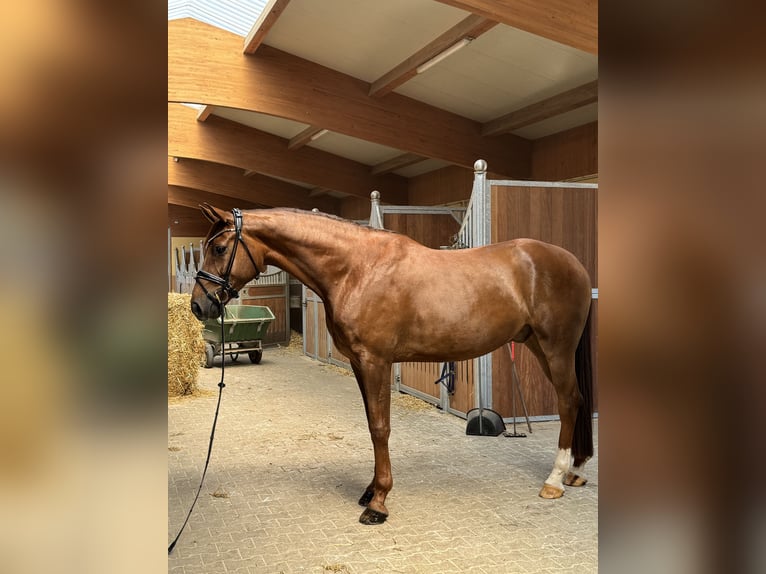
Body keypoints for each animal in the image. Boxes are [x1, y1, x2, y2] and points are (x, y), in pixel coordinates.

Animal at [190, 204, 594, 525]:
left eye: (219, 248)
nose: (198, 305)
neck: (356, 269)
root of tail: (574, 263)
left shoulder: (376, 361)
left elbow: (380, 428)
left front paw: (379, 502)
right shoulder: (359, 363)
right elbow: (372, 424)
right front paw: (371, 490)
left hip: (555, 347)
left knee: (568, 401)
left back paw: (554, 480)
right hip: (538, 345)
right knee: (577, 400)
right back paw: (574, 471)